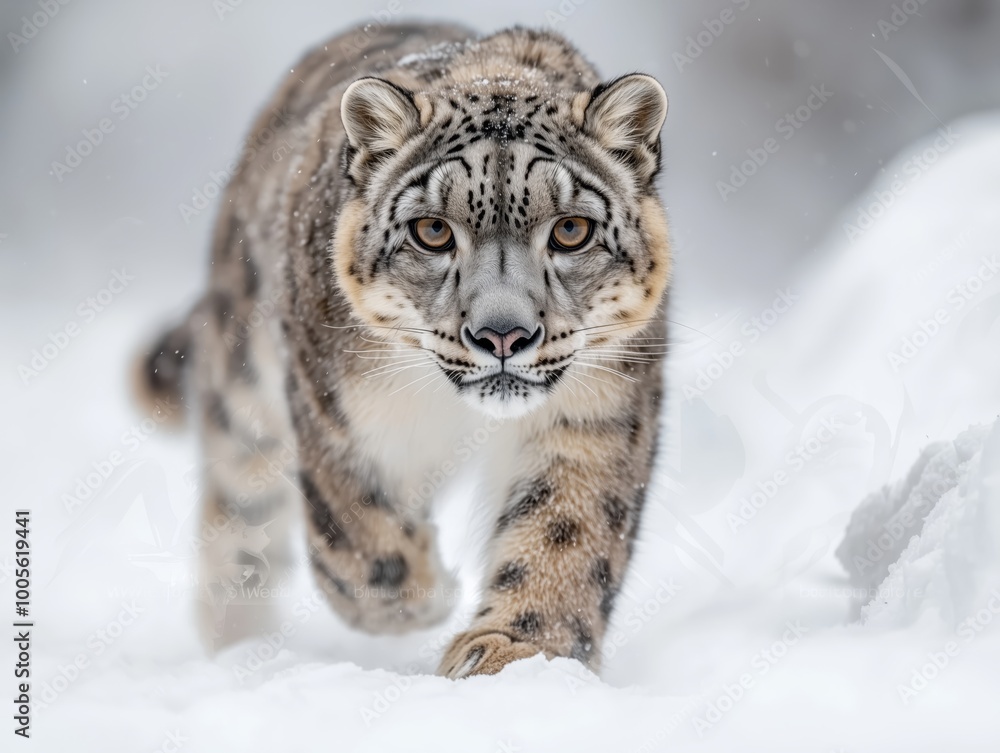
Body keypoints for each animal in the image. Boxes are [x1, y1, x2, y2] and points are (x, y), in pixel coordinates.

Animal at [136, 21, 671, 679]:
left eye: (571, 230)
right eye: (432, 231)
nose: (502, 334)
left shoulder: (597, 412)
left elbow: (567, 526)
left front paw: (517, 650)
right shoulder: (336, 412)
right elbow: (352, 534)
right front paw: (421, 594)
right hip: (244, 393)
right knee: (239, 508)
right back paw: (237, 646)